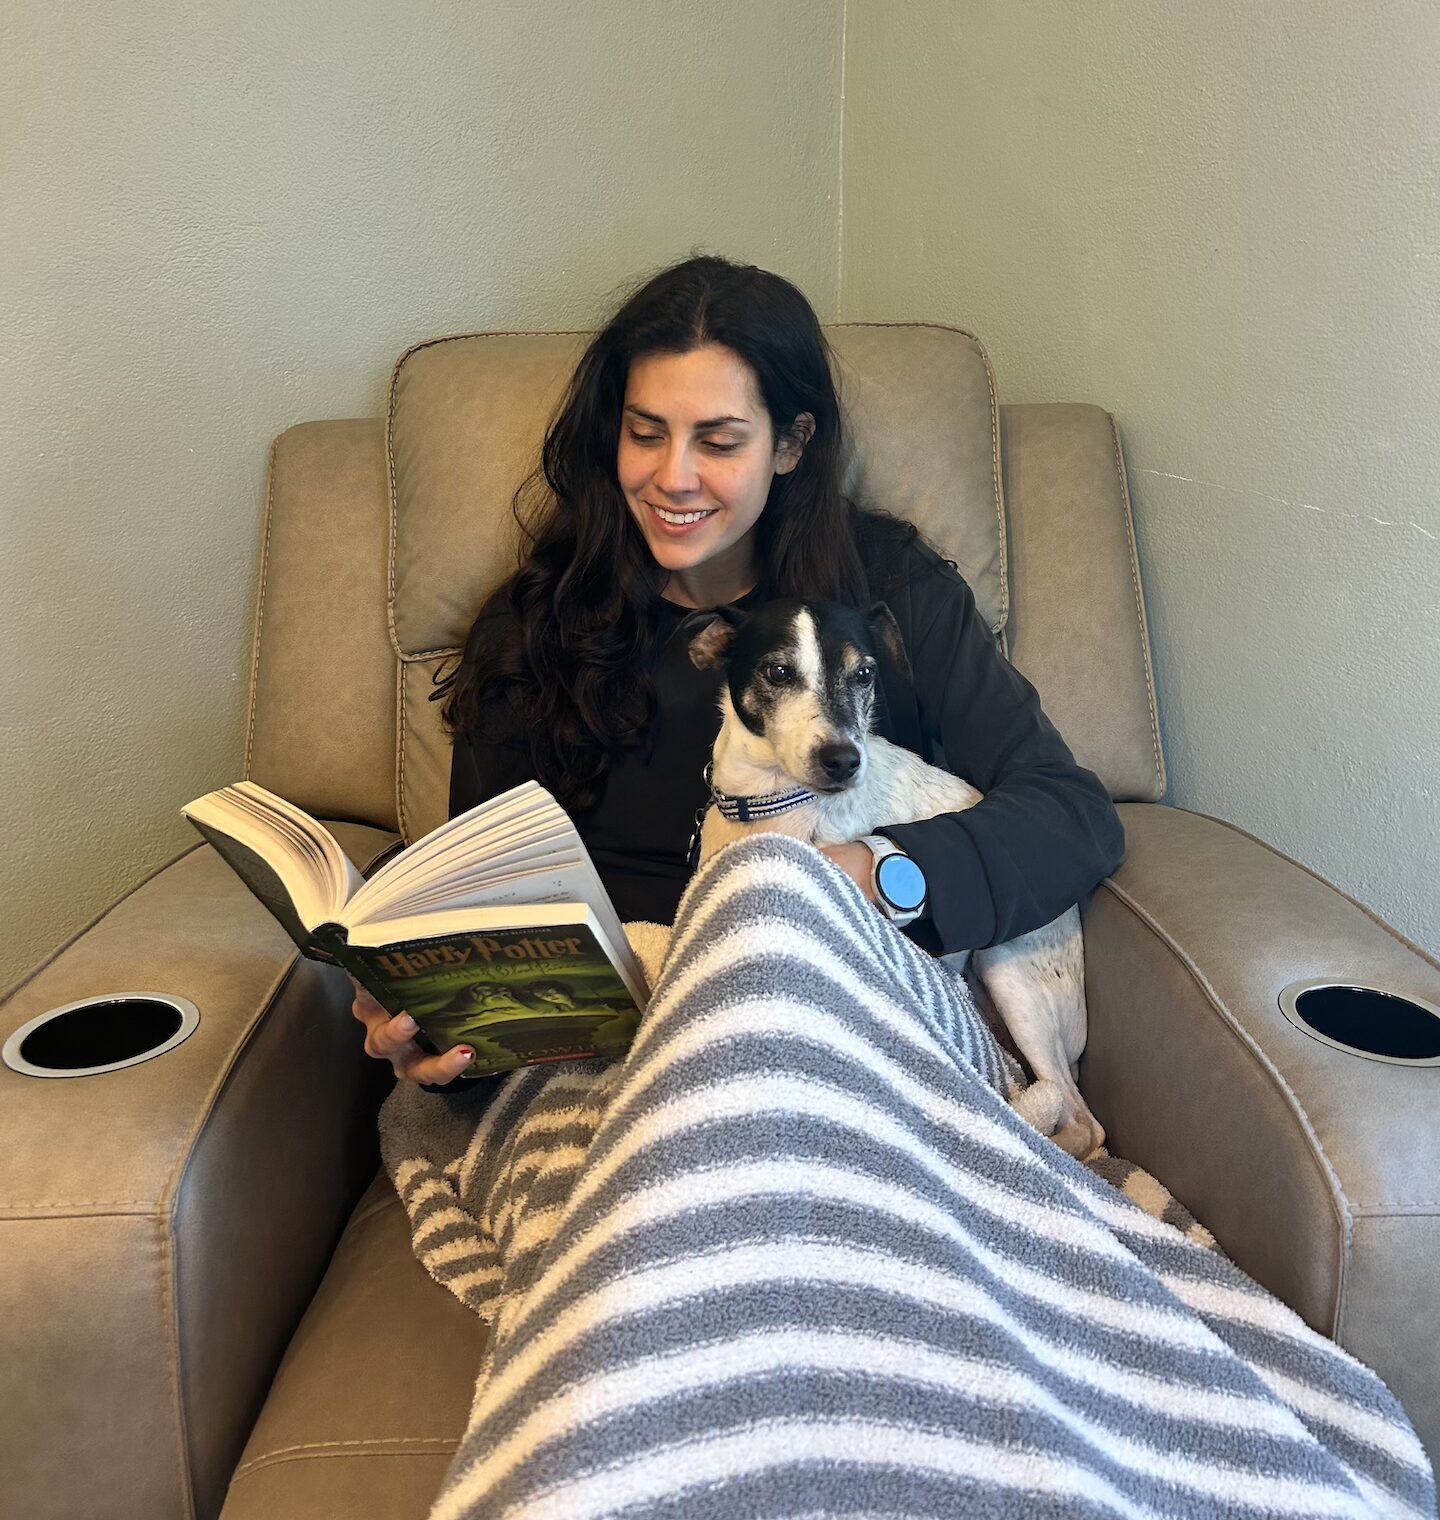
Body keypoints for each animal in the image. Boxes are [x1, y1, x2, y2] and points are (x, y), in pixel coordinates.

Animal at [688, 596, 1105, 1161]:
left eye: (864, 674)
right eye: (778, 672)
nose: (843, 760)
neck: (774, 803)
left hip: (1011, 977)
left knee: (1081, 1121)